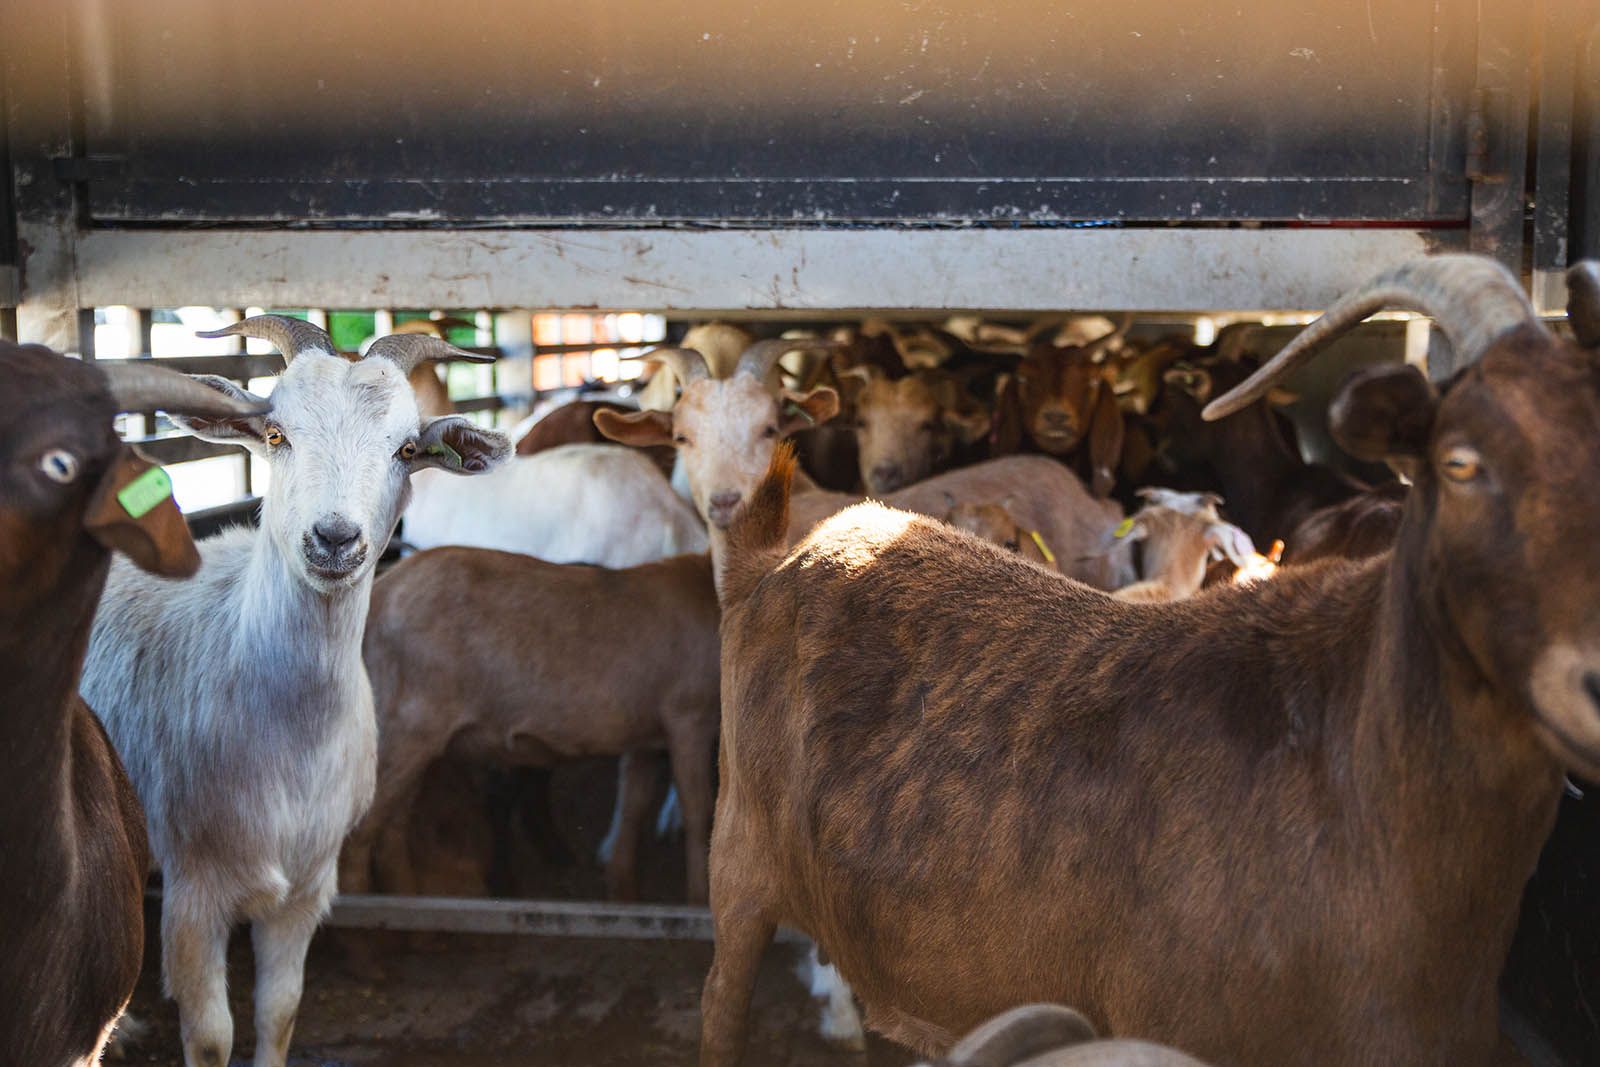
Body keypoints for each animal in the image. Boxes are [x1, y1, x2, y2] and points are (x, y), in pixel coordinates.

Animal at [81, 317, 511, 1067]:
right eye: (276, 434)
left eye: (406, 449)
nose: (334, 538)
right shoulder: (195, 887)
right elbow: (211, 1036)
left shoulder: (307, 887)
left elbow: (279, 1013)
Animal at [341, 548, 720, 903]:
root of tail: (381, 591)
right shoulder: (690, 714)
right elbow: (699, 811)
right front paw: (697, 899)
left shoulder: (646, 735)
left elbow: (632, 809)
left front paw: (625, 895)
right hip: (406, 725)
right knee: (359, 834)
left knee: (391, 828)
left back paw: (407, 899)